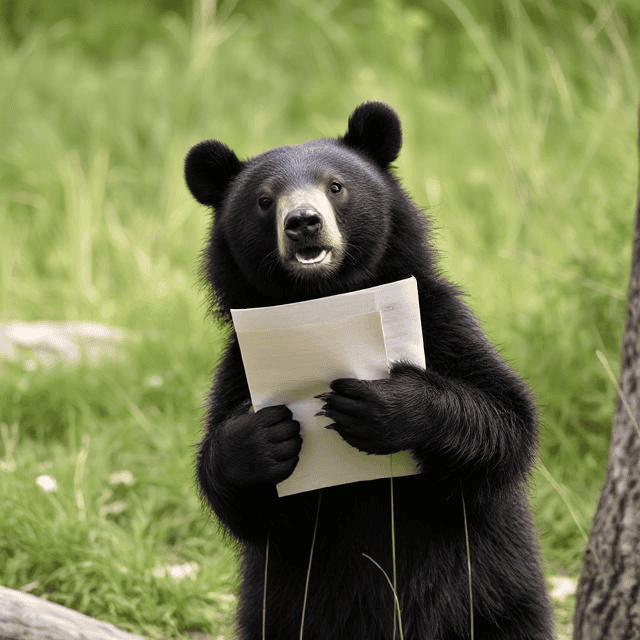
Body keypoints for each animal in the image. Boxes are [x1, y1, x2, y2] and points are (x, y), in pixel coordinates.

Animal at [184, 101, 554, 639]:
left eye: (336, 186)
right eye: (264, 200)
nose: (303, 223)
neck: (325, 296)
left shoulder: (439, 318)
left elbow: (504, 417)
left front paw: (374, 406)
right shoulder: (236, 360)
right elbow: (241, 500)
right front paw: (264, 436)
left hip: (492, 596)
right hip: (279, 612)